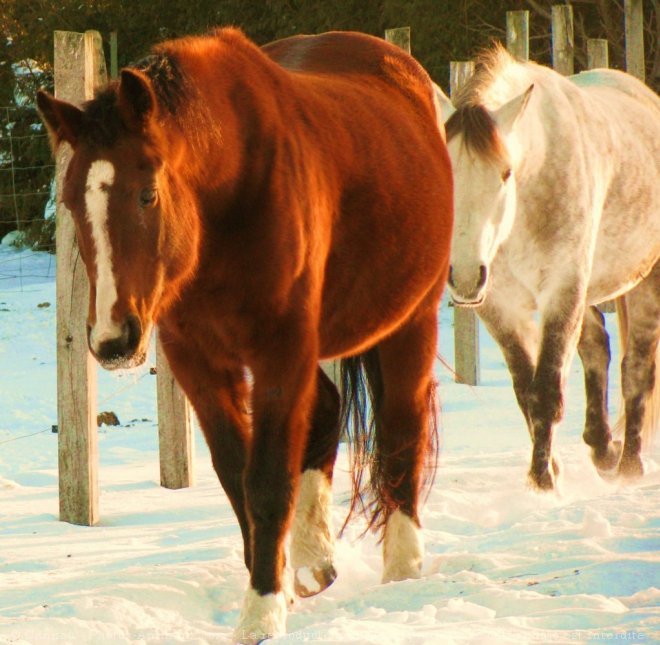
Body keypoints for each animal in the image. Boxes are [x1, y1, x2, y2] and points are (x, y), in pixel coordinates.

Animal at [38, 28, 454, 640]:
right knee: (328, 411)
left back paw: (402, 569)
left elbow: (268, 480)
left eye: (147, 193)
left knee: (402, 429)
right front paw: (277, 582)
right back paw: (312, 559)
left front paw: (261, 613)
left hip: (411, 321)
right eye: (71, 201)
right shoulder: (199, 362)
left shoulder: (280, 352)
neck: (229, 197)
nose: (114, 339)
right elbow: (238, 477)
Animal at [440, 45, 656, 488]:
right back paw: (603, 449)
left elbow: (547, 390)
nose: (465, 277)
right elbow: (526, 389)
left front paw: (543, 482)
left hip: (642, 281)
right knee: (597, 348)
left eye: (505, 173)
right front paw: (550, 470)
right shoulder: (499, 305)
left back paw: (629, 464)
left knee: (637, 367)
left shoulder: (562, 288)